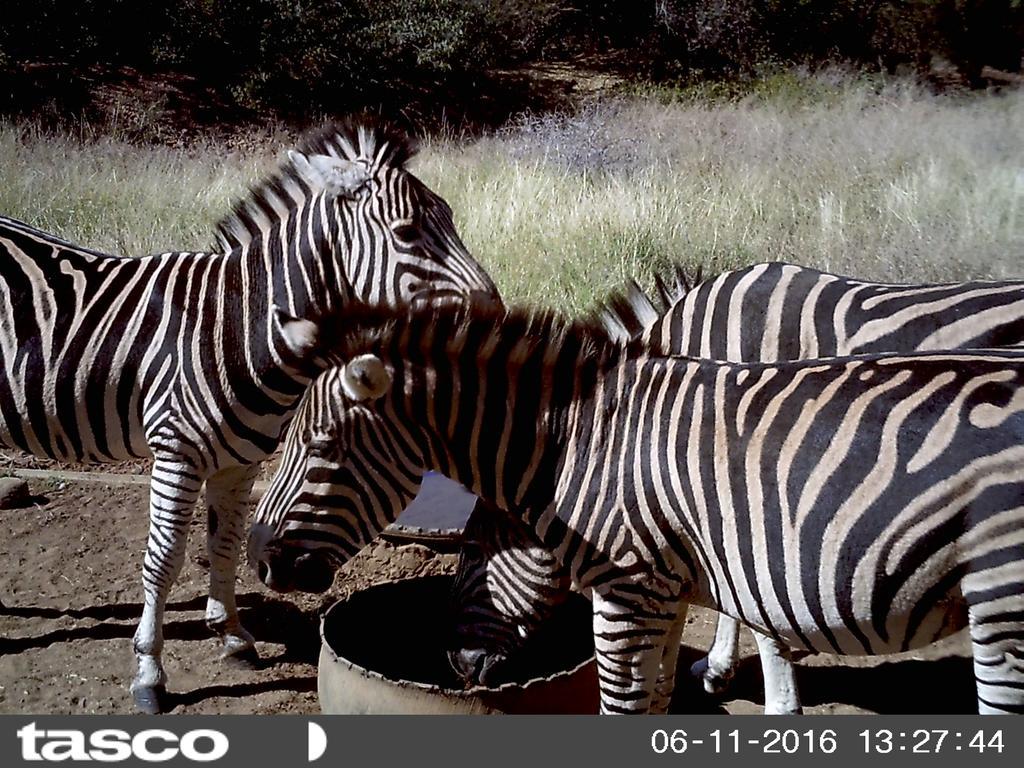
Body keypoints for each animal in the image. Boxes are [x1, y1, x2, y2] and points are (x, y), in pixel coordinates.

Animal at [0, 121, 499, 716]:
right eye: (407, 233)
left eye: (451, 219)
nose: (497, 322)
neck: (243, 326)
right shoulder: (176, 451)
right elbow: (164, 559)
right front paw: (149, 672)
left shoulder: (239, 461)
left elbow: (225, 543)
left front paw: (233, 637)